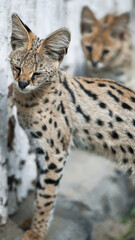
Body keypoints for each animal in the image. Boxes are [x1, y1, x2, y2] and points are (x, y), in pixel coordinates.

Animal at [10, 14, 135, 239]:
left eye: (37, 74)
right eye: (17, 68)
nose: (22, 83)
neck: (29, 101)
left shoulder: (55, 152)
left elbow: (46, 197)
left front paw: (36, 232)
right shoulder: (40, 149)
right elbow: (39, 190)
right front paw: (31, 223)